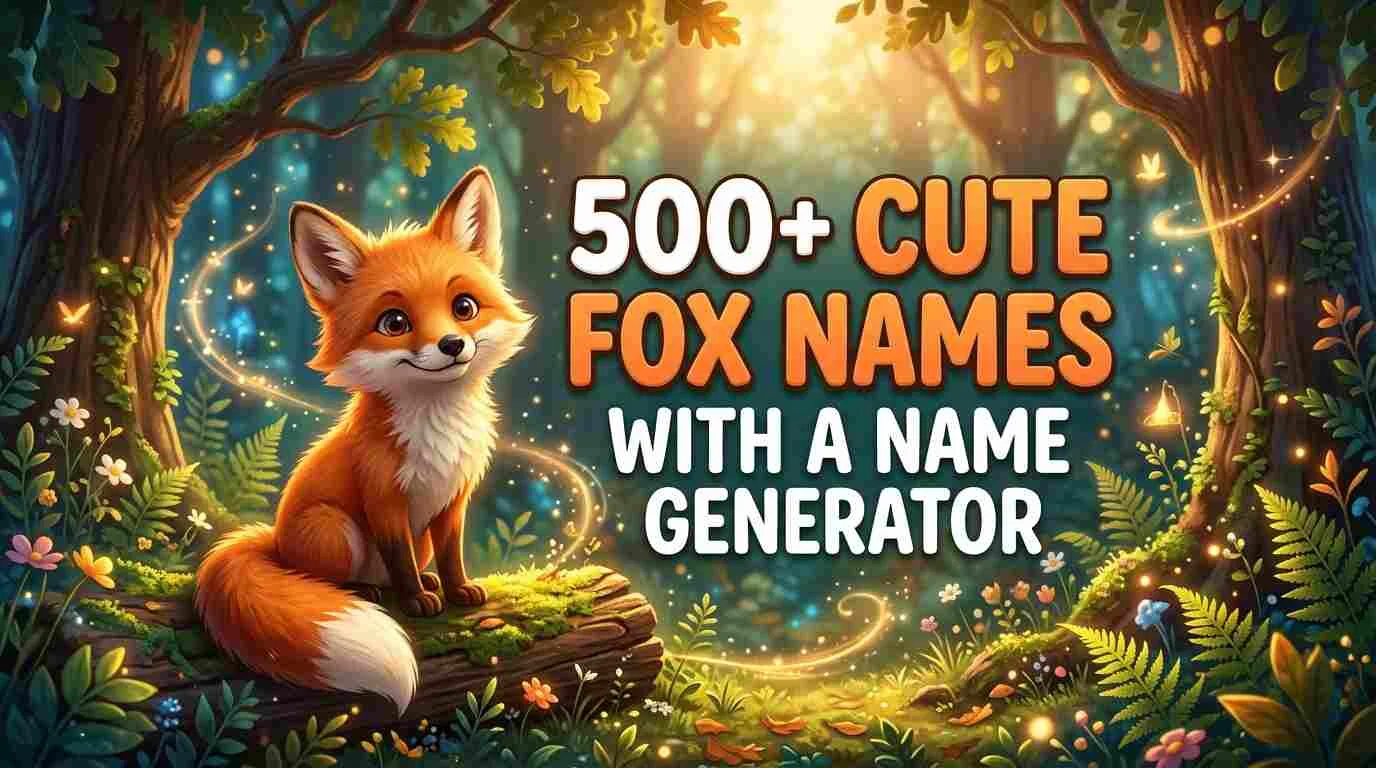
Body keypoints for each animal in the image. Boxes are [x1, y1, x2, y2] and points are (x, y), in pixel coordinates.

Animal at [196, 167, 532, 715]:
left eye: (463, 307)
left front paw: (458, 588)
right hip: (334, 529)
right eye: (394, 323)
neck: (436, 427)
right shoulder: (383, 496)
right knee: (321, 577)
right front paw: (415, 601)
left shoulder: (453, 499)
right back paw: (366, 592)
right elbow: (397, 556)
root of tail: (273, 541)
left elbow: (453, 553)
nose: (452, 345)